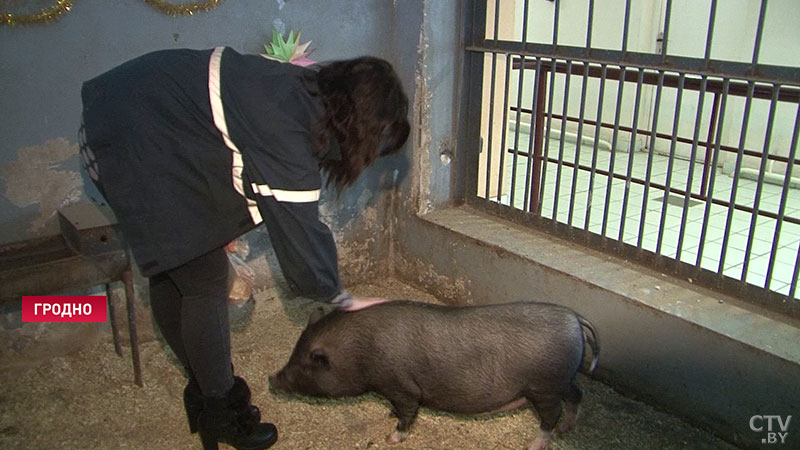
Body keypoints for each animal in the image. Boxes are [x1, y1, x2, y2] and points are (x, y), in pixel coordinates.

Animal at [270, 298, 600, 450]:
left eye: (303, 362)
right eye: (293, 353)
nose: (271, 378)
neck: (360, 352)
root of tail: (575, 318)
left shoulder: (400, 384)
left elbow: (408, 410)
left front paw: (392, 436)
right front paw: (388, 415)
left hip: (544, 385)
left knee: (551, 414)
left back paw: (536, 444)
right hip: (563, 379)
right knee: (577, 395)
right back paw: (567, 429)